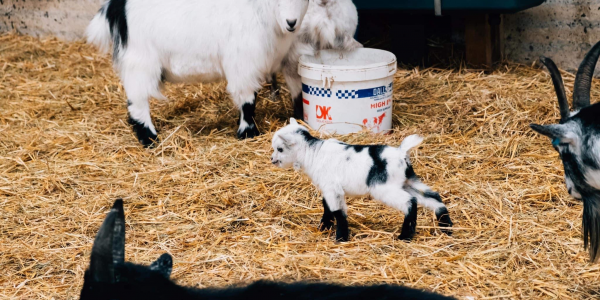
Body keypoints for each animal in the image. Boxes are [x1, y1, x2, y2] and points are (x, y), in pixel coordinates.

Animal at [88, 0, 310, 146]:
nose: (291, 22)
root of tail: (115, 7)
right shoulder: (243, 63)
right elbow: (247, 100)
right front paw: (248, 133)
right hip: (140, 62)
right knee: (138, 101)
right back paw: (150, 139)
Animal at [270, 119, 452, 241]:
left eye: (280, 149)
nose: (272, 160)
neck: (313, 153)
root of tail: (401, 153)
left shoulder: (332, 188)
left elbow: (338, 212)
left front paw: (341, 238)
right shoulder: (328, 189)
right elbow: (327, 207)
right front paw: (324, 228)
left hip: (384, 189)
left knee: (411, 202)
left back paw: (405, 236)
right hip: (408, 182)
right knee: (433, 197)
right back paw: (447, 228)